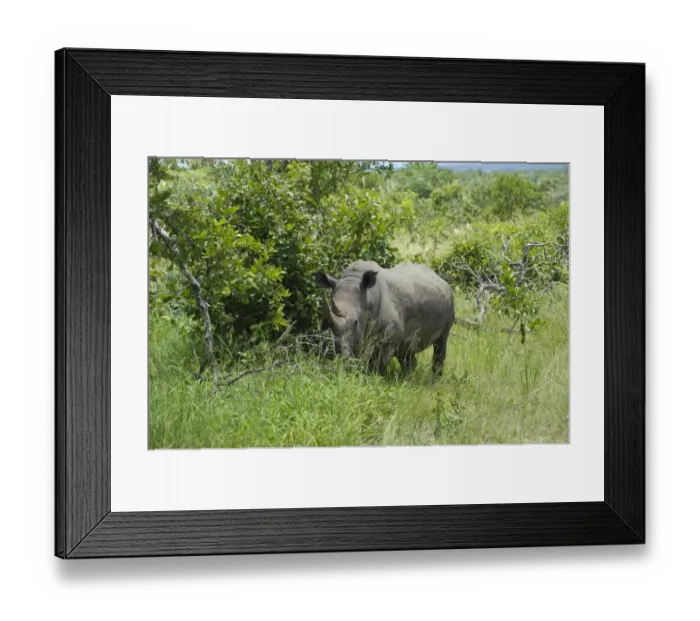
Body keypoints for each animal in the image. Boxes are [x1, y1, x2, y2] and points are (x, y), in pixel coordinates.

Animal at [315, 260, 455, 376]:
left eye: (355, 322)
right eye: (323, 322)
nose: (333, 351)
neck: (368, 296)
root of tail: (440, 278)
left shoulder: (389, 339)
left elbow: (377, 364)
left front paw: (373, 379)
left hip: (449, 300)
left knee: (441, 342)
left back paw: (433, 380)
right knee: (406, 350)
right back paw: (406, 378)